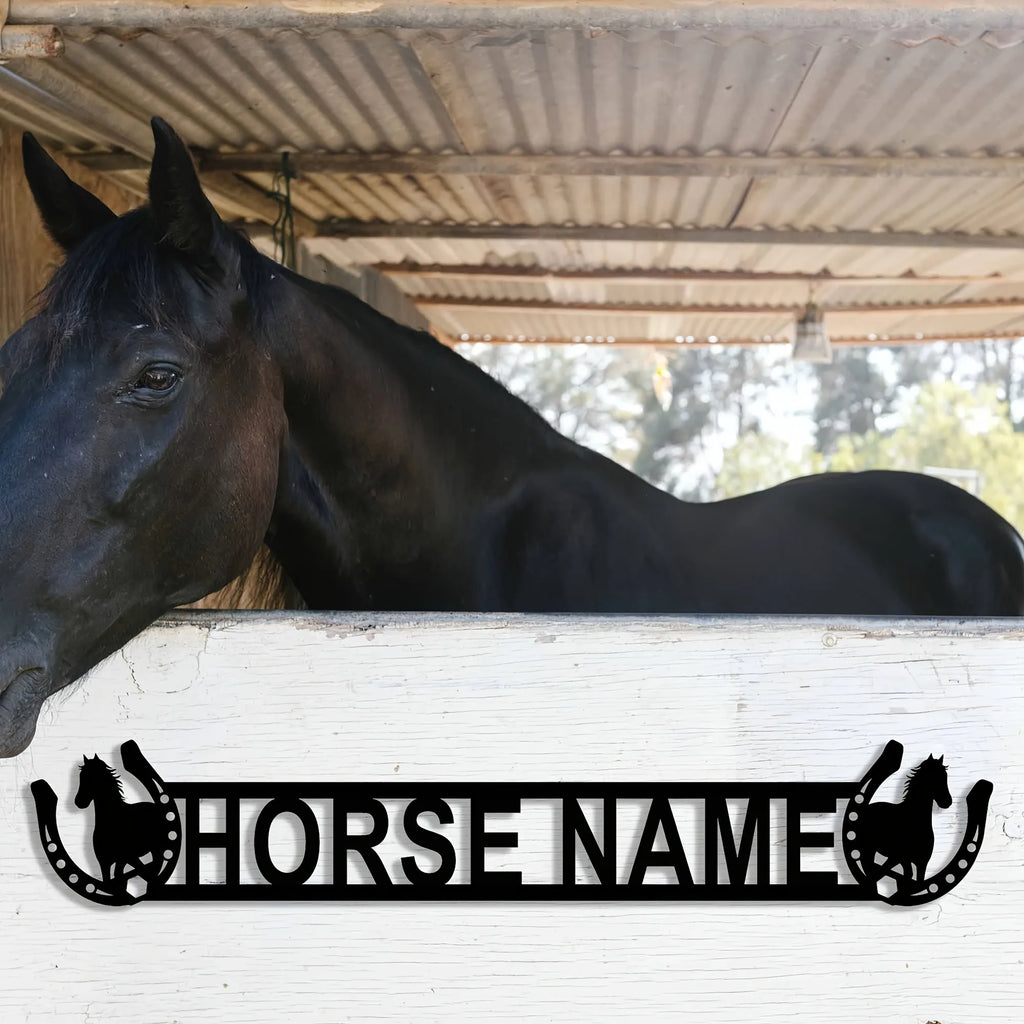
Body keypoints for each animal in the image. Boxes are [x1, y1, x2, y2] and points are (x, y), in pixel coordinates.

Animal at [74, 754, 170, 890]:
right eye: (81, 776)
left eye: (92, 776)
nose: (79, 802)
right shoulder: (104, 863)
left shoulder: (123, 859)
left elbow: (120, 878)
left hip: (157, 848)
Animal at [852, 754, 953, 894]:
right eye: (933, 777)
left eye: (945, 776)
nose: (947, 801)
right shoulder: (902, 859)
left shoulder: (922, 863)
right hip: (867, 849)